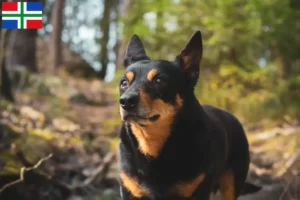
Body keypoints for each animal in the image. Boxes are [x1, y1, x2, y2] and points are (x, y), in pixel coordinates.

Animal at [116, 30, 262, 200]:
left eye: (159, 81)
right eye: (124, 83)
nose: (126, 101)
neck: (153, 148)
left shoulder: (199, 189)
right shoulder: (129, 189)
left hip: (231, 183)